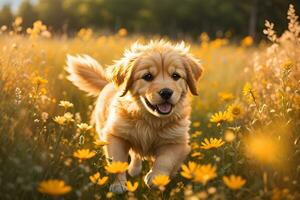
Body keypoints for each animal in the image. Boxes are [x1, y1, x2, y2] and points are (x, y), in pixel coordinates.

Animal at [65, 40, 202, 194]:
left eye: (176, 76)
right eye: (147, 76)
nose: (166, 92)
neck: (150, 120)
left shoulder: (177, 142)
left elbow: (166, 160)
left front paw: (156, 178)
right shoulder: (116, 135)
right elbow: (118, 162)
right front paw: (118, 185)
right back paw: (134, 170)